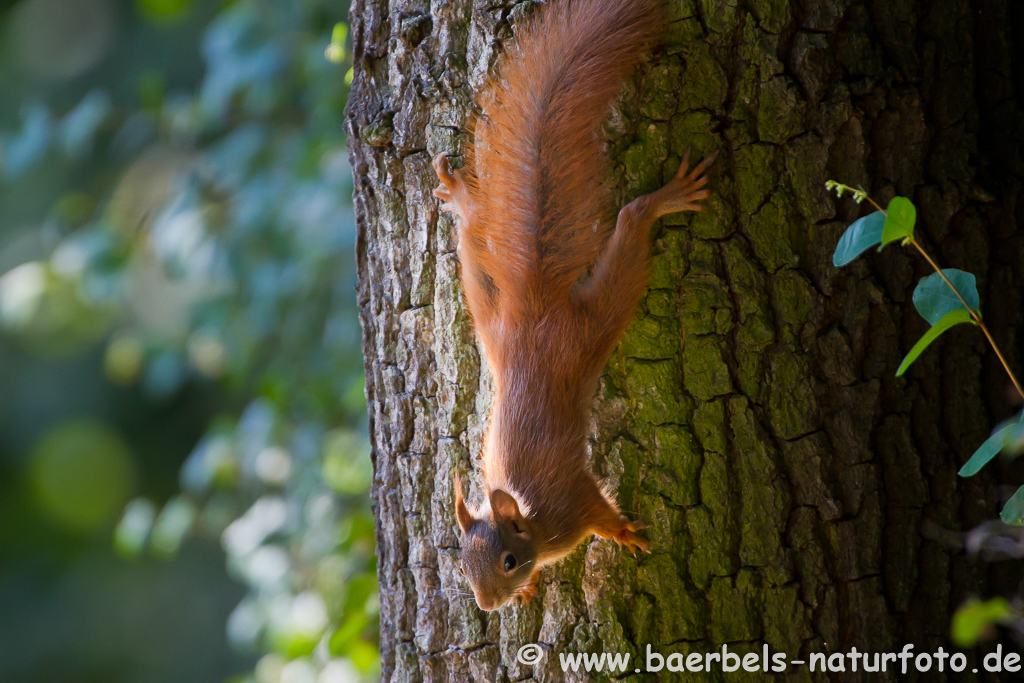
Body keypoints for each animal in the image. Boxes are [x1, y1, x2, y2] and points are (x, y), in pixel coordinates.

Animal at [432, 0, 712, 610]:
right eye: (462, 565)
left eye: (508, 561)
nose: (488, 606)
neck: (533, 522)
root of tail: (534, 311)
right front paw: (533, 591)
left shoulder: (574, 504)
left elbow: (600, 511)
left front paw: (624, 532)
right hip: (490, 321)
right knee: (474, 253)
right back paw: (464, 202)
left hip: (591, 323)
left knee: (630, 224)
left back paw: (663, 201)